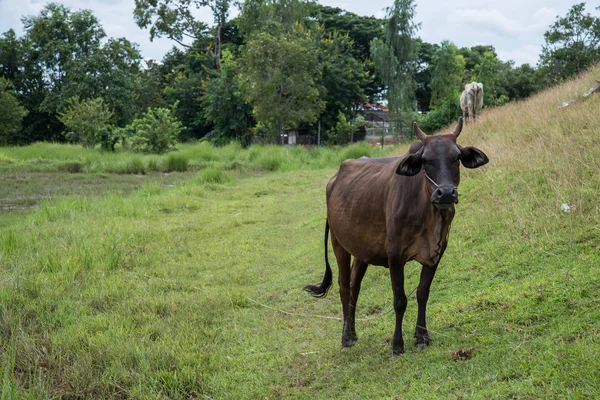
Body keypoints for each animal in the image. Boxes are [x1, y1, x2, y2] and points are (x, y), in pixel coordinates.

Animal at [304, 117, 488, 354]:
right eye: (425, 160)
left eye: (456, 157)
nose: (446, 193)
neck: (428, 215)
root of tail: (334, 179)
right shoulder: (395, 255)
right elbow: (399, 300)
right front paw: (397, 345)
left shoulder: (436, 253)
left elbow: (422, 293)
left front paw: (422, 336)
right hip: (339, 244)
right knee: (344, 287)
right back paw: (345, 338)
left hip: (361, 253)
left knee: (355, 287)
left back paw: (353, 333)